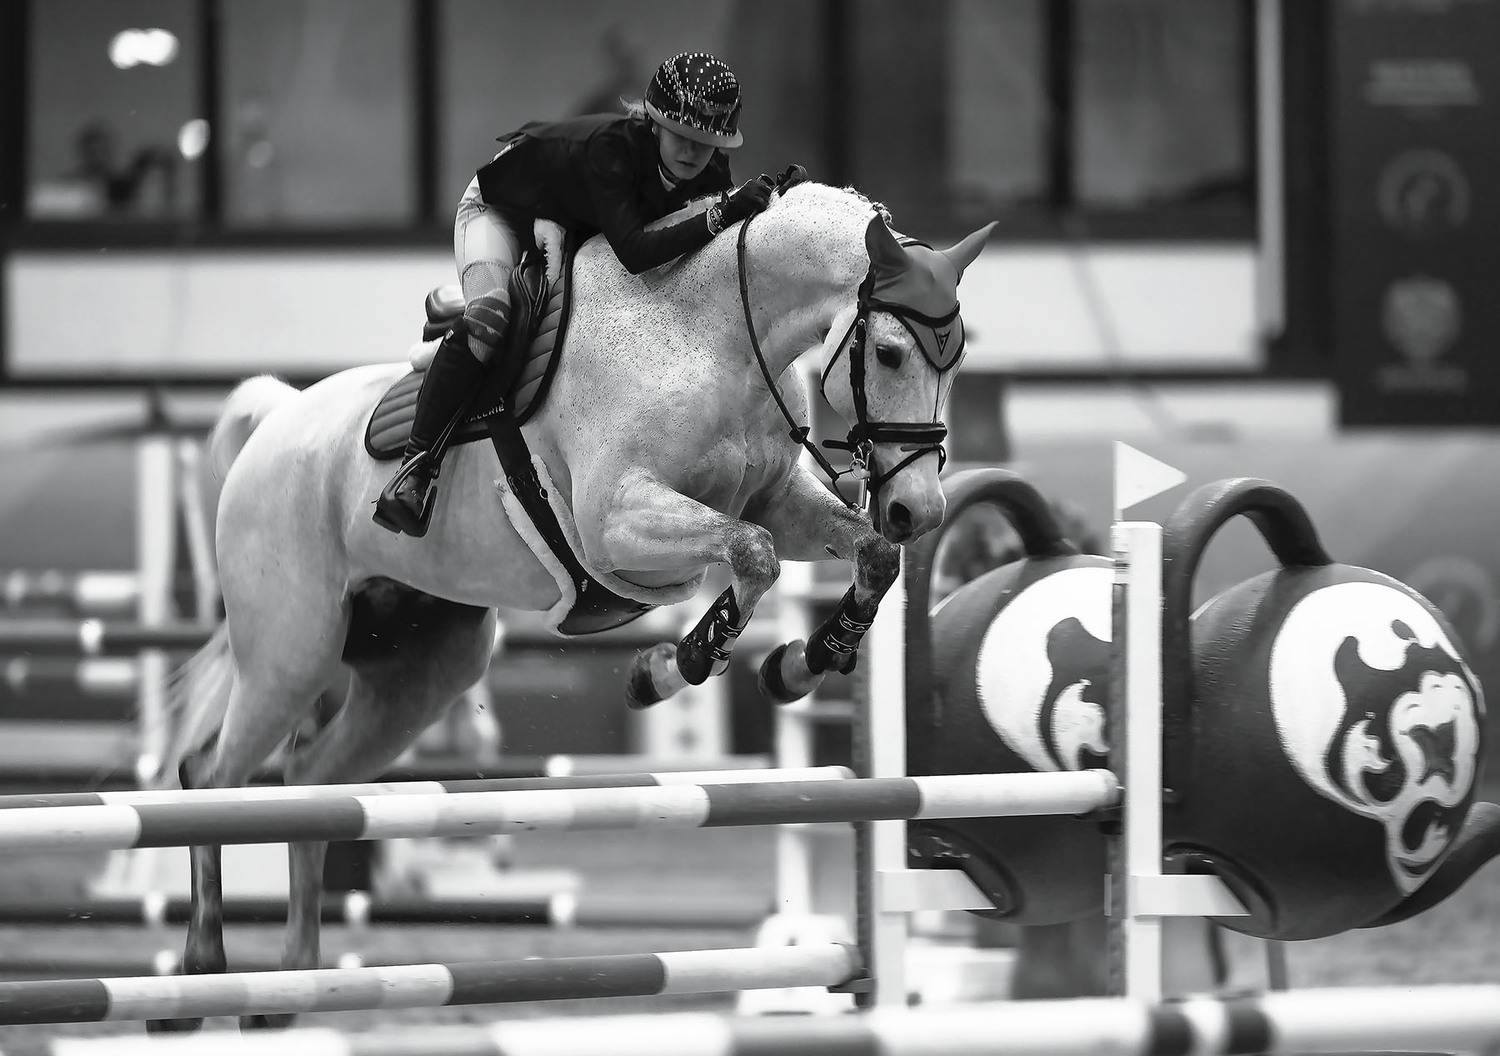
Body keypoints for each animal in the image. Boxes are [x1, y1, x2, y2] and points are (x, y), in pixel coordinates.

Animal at [148, 180, 997, 1032]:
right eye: (887, 353)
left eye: (957, 357)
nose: (919, 511)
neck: (710, 332)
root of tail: (277, 422)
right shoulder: (617, 522)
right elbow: (750, 554)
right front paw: (671, 666)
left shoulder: (780, 501)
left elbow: (863, 555)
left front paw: (802, 664)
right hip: (293, 652)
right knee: (213, 777)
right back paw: (196, 979)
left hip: (421, 674)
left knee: (311, 786)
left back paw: (287, 990)